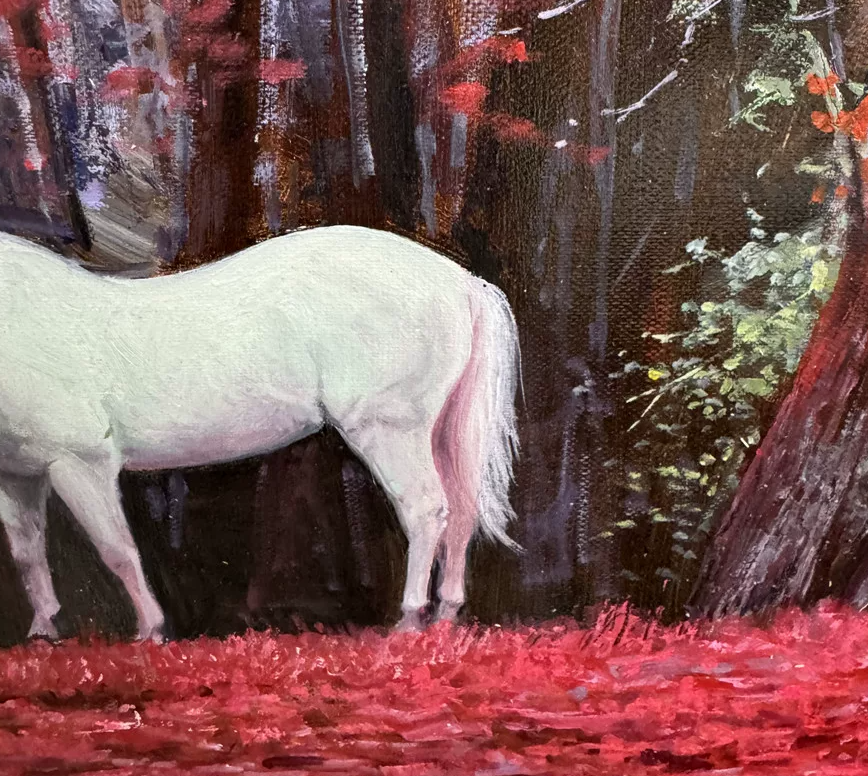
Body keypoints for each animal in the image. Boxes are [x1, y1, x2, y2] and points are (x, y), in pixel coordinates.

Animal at [0, 226, 521, 640]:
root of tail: (462, 282)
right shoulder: (19, 476)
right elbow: (27, 552)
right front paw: (43, 632)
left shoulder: (80, 462)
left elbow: (118, 551)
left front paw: (150, 631)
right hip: (442, 431)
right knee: (462, 509)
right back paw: (446, 616)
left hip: (389, 429)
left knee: (425, 509)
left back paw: (410, 619)